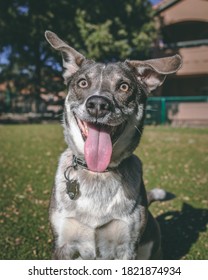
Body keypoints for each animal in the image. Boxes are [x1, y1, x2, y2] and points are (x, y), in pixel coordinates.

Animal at [44, 31, 181, 260]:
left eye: (124, 86)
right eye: (82, 83)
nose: (98, 104)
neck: (97, 172)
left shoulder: (127, 247)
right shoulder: (63, 245)